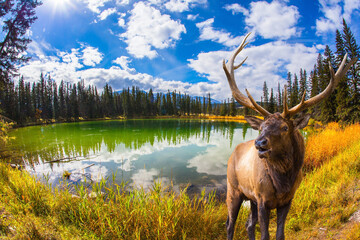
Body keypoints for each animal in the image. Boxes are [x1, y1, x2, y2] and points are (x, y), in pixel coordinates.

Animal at [222, 32, 358, 240]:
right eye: (261, 127)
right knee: (230, 224)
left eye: (285, 127)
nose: (260, 143)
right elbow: (265, 235)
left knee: (248, 225)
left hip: (250, 198)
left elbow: (280, 234)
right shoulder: (262, 198)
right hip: (234, 189)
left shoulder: (287, 200)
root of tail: (232, 153)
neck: (283, 182)